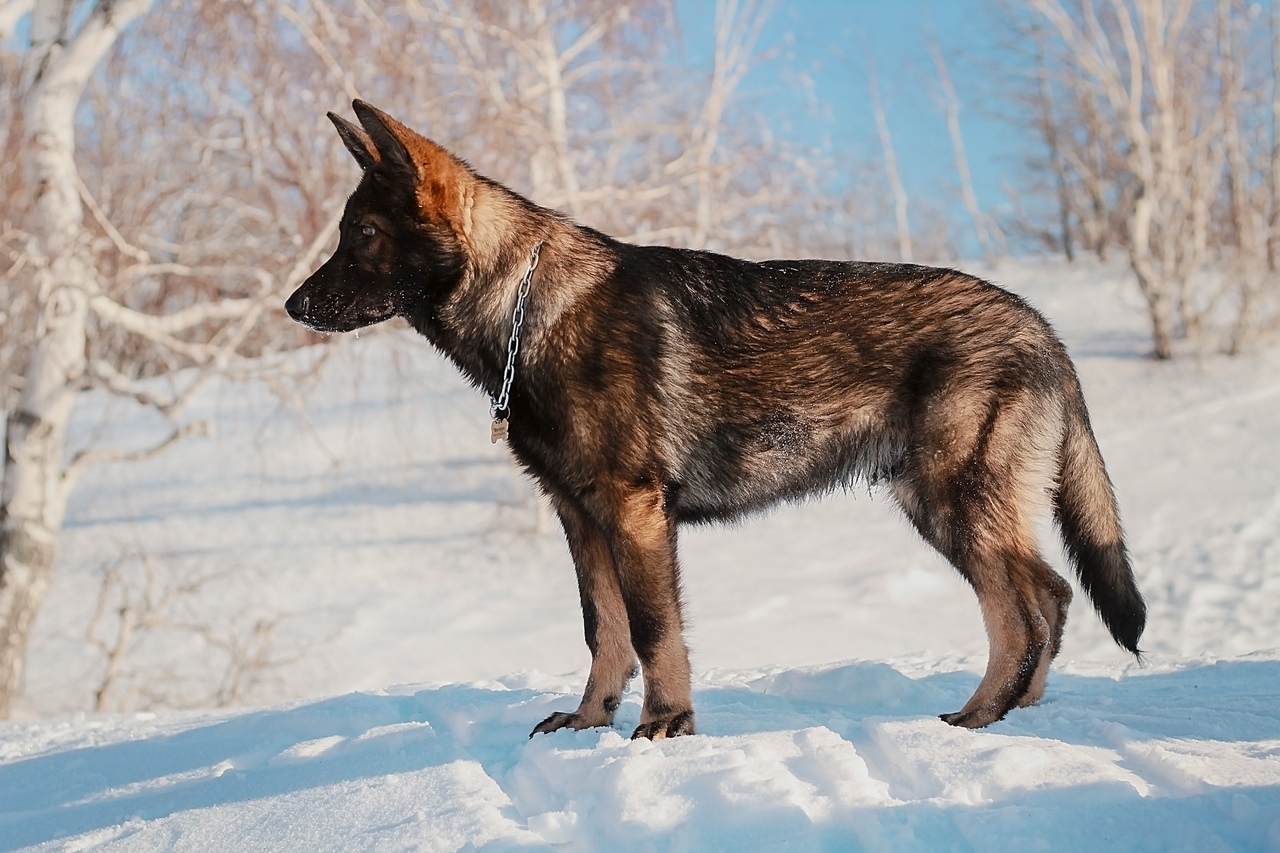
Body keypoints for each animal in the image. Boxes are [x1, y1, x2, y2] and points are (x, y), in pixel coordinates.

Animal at [285, 101, 1146, 737]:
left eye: (362, 235)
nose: (294, 306)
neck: (527, 307)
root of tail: (1041, 327)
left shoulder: (634, 512)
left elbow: (652, 629)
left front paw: (667, 723)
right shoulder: (581, 517)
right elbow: (604, 630)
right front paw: (592, 719)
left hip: (950, 502)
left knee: (1029, 606)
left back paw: (981, 714)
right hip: (942, 506)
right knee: (1045, 598)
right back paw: (1015, 710)